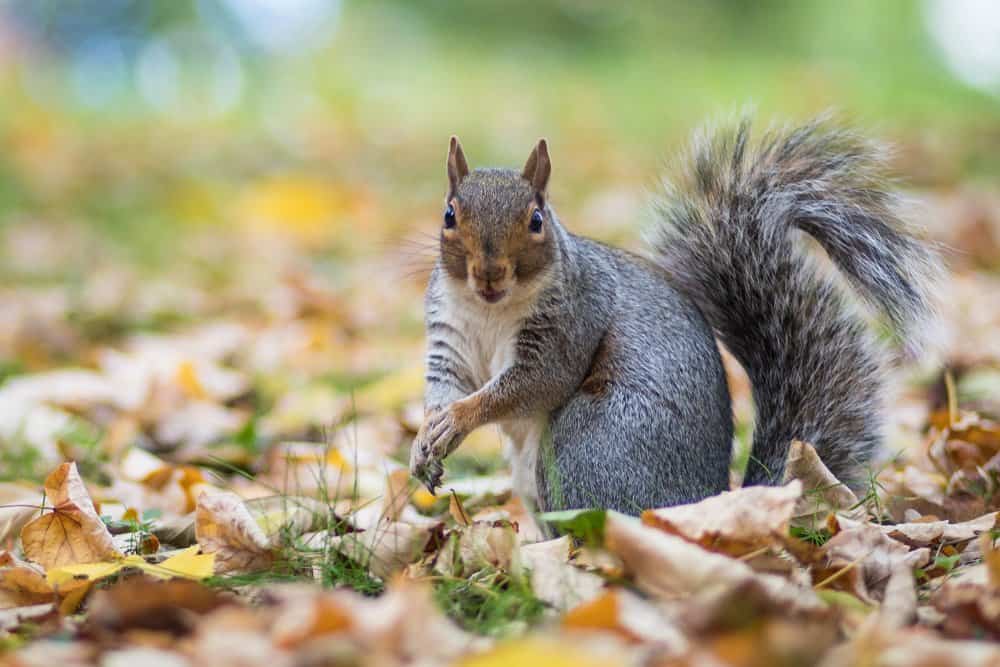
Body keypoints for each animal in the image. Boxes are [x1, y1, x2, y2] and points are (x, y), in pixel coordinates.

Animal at [410, 117, 940, 516]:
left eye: (536, 220)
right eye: (449, 215)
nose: (489, 274)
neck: (491, 310)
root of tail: (706, 502)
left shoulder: (571, 322)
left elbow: (533, 383)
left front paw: (459, 418)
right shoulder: (451, 335)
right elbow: (447, 381)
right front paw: (427, 437)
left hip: (591, 442)